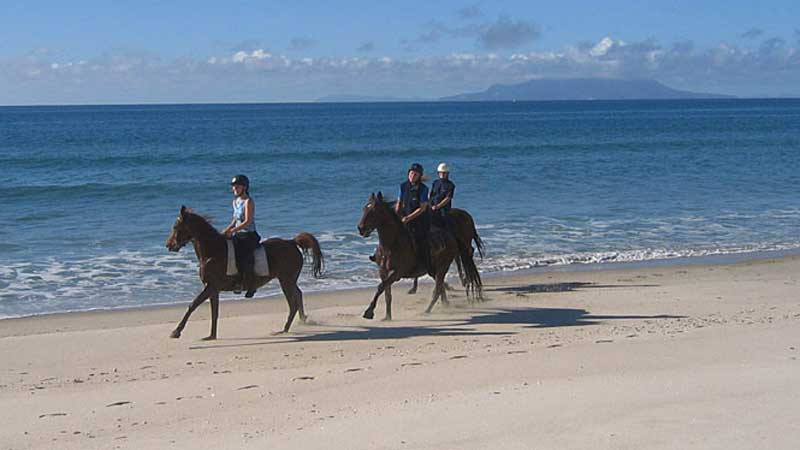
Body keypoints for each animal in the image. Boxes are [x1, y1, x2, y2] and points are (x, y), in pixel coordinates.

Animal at [164, 206, 324, 340]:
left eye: (176, 227)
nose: (169, 245)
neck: (213, 252)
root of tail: (292, 242)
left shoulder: (211, 286)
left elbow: (192, 305)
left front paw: (176, 331)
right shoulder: (213, 289)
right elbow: (214, 312)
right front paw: (211, 336)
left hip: (286, 281)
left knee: (293, 303)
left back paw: (284, 329)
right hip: (289, 280)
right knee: (298, 294)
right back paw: (302, 320)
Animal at [356, 192, 482, 322]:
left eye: (374, 211)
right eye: (364, 209)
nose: (360, 228)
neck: (390, 245)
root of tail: (452, 236)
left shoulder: (397, 273)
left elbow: (381, 287)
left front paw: (369, 312)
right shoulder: (383, 272)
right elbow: (387, 294)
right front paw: (387, 316)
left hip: (443, 266)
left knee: (438, 288)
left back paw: (428, 310)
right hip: (434, 269)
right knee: (440, 285)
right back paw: (445, 302)